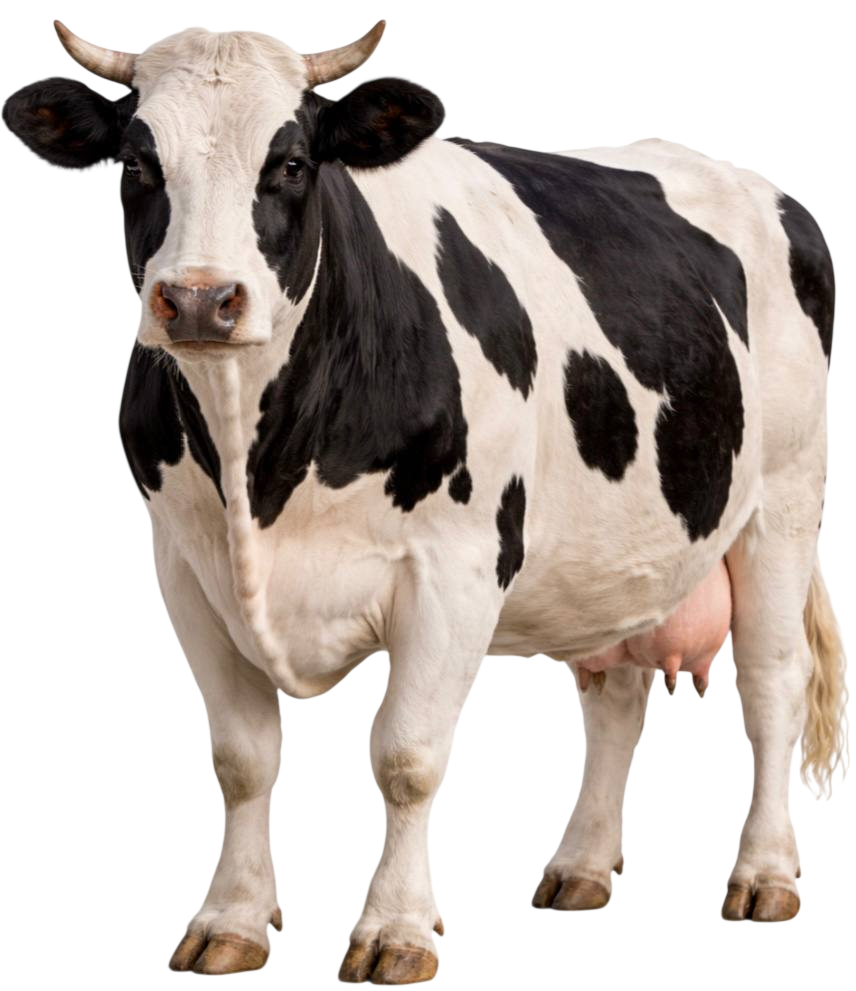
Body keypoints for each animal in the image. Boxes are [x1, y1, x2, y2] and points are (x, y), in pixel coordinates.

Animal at [4, 16, 848, 983]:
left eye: (291, 162)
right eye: (138, 164)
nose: (200, 299)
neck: (264, 462)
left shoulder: (457, 567)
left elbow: (407, 756)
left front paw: (395, 929)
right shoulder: (182, 569)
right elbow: (242, 758)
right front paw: (231, 920)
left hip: (784, 500)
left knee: (771, 682)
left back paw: (764, 873)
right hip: (619, 552)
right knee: (616, 693)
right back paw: (581, 865)